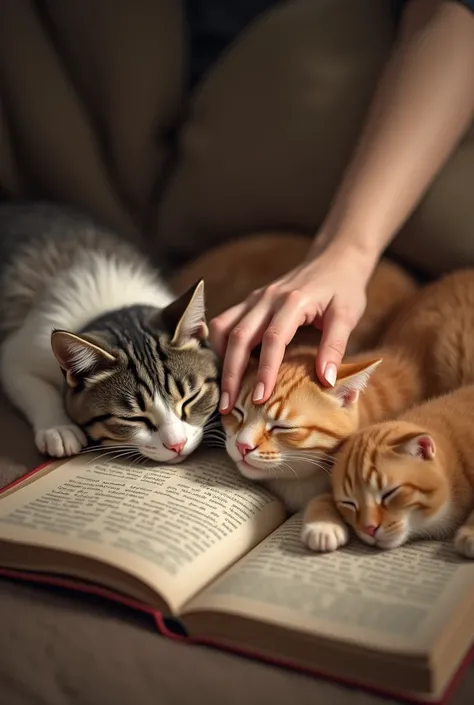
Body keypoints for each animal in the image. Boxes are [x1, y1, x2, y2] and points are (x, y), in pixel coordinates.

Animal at [0, 201, 219, 460]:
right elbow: (34, 386)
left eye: (191, 398)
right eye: (133, 419)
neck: (112, 308)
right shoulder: (20, 352)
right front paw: (59, 428)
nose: (177, 445)